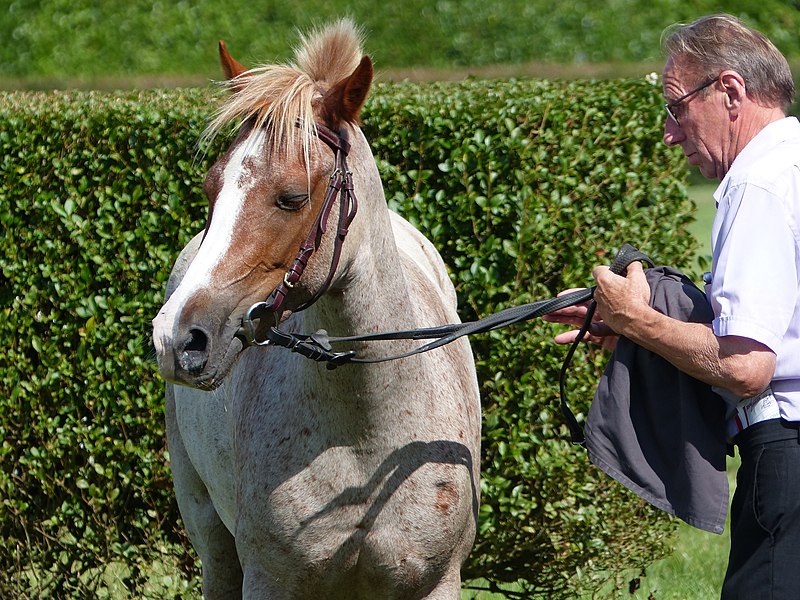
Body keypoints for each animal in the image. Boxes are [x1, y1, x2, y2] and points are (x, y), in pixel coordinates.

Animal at [154, 18, 484, 600]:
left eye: (291, 198)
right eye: (212, 188)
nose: (176, 338)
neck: (366, 440)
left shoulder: (437, 581)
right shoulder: (269, 581)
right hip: (211, 539)